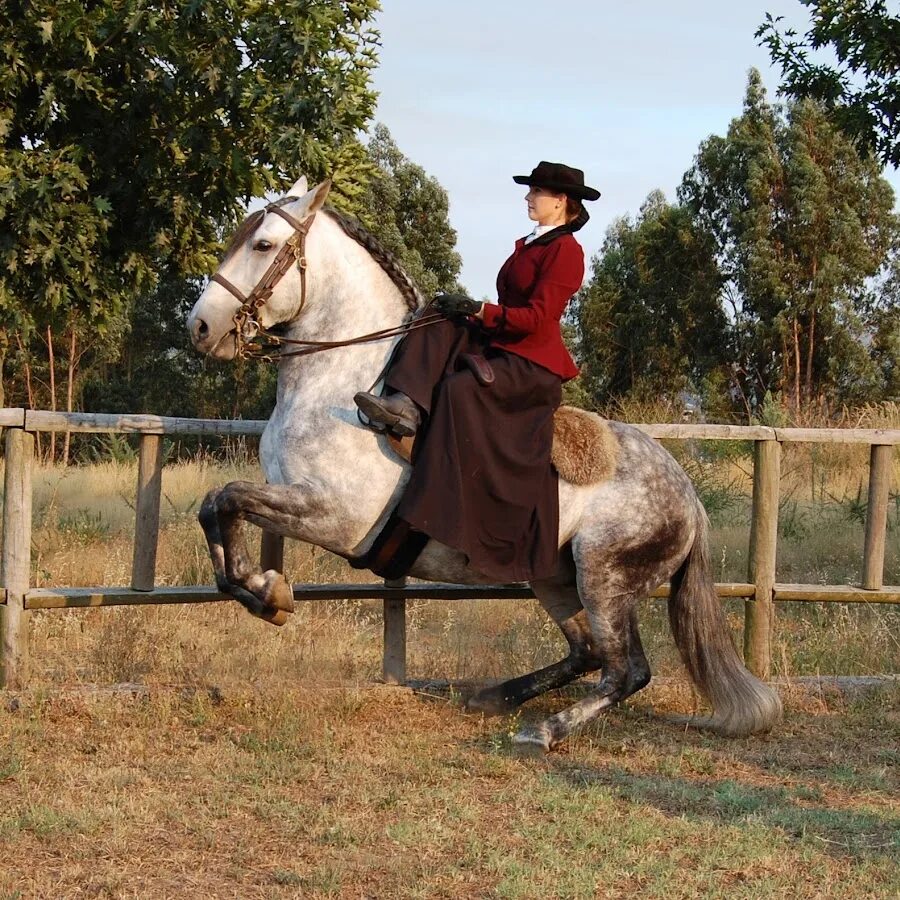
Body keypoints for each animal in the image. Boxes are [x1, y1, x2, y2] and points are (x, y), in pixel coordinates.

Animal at [188, 176, 780, 752]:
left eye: (264, 245)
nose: (200, 327)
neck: (344, 377)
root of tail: (689, 498)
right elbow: (215, 506)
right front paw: (260, 590)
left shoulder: (333, 515)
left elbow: (230, 498)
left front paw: (269, 591)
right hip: (554, 577)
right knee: (587, 652)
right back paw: (497, 697)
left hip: (604, 577)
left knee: (624, 671)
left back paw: (543, 731)